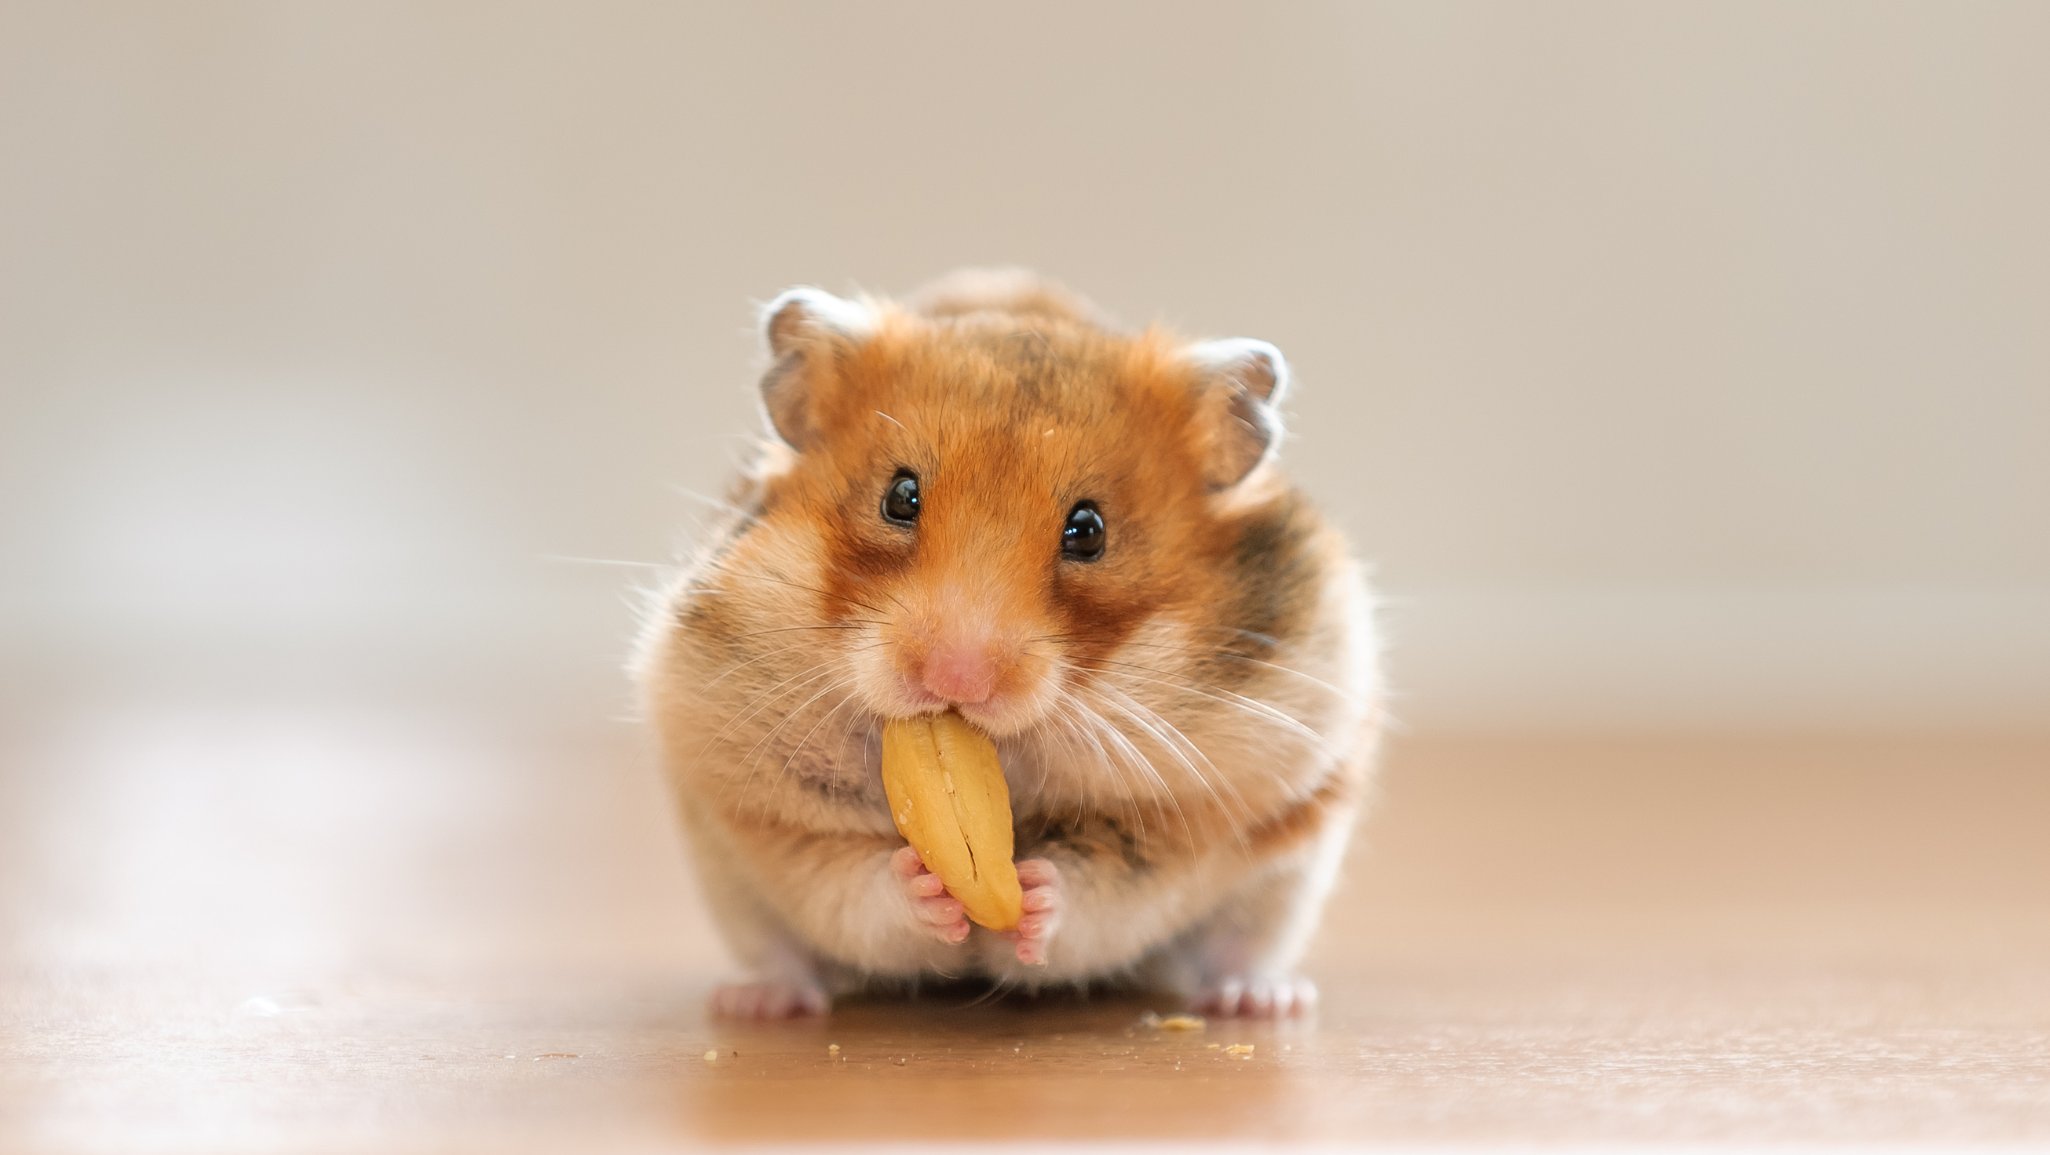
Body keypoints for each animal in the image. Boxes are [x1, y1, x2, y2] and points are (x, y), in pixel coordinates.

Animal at [634, 269, 1382, 1019]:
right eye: (899, 497)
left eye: (1089, 531)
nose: (955, 681)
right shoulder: (764, 806)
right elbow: (852, 881)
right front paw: (925, 885)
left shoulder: (1192, 818)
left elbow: (1104, 890)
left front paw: (1034, 895)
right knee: (781, 952)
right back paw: (757, 1003)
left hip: (1286, 881)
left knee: (1237, 949)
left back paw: (1262, 1000)